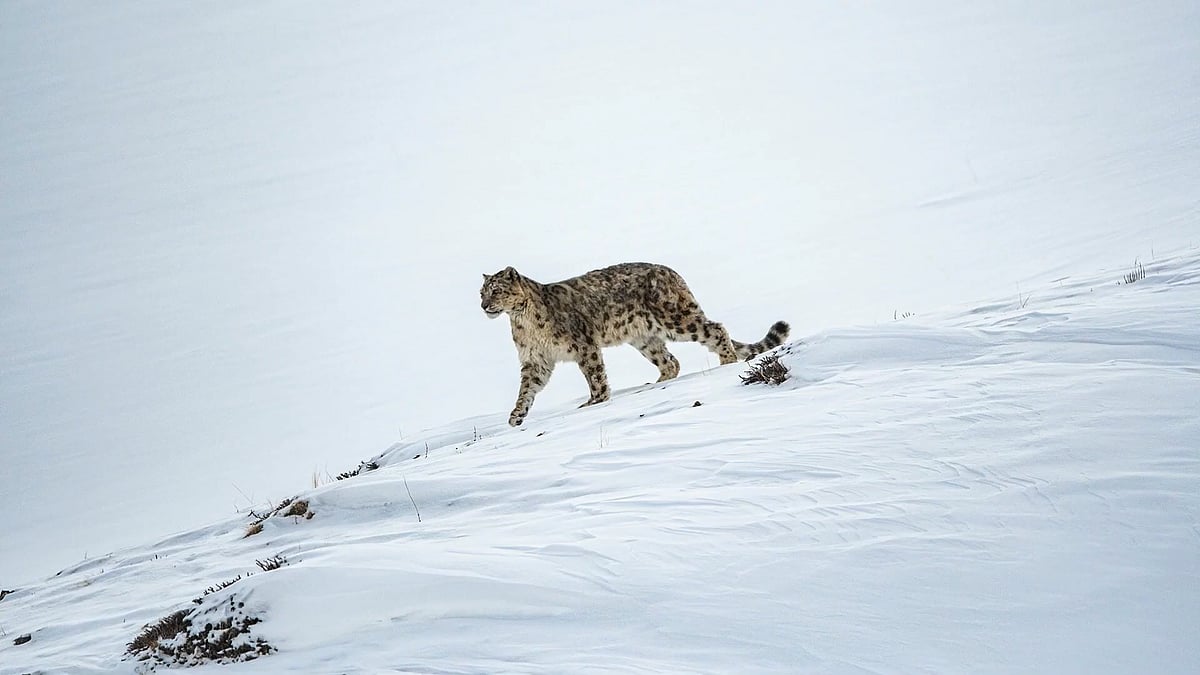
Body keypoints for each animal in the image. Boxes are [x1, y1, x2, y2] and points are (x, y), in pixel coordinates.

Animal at [480, 262, 789, 426]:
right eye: (481, 292)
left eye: (496, 290)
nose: (483, 306)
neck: (523, 321)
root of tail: (671, 272)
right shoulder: (536, 359)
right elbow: (527, 388)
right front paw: (516, 415)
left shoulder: (584, 345)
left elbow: (595, 376)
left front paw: (595, 401)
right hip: (645, 338)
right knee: (670, 361)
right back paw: (656, 383)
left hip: (676, 319)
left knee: (714, 329)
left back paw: (726, 361)